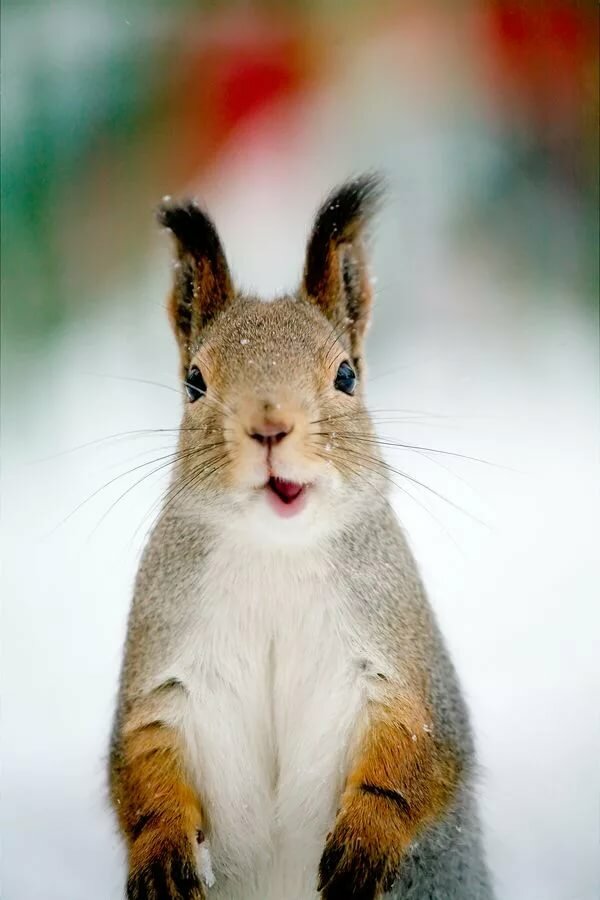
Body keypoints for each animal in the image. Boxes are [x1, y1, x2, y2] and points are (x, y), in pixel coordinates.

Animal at [109, 174, 495, 900]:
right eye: (194, 382)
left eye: (346, 375)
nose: (269, 427)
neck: (275, 551)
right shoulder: (166, 674)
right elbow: (142, 763)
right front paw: (164, 851)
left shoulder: (399, 655)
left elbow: (417, 749)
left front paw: (364, 841)